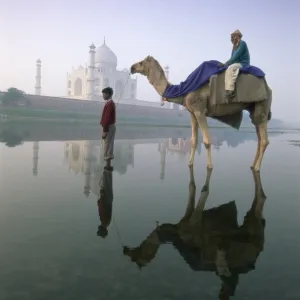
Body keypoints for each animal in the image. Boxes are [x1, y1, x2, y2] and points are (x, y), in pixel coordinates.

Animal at [123, 166, 266, 298]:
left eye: (135, 258)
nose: (125, 250)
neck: (175, 232)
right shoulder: (188, 218)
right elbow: (192, 189)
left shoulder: (194, 226)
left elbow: (203, 193)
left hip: (250, 234)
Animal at [131, 56, 272, 171]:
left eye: (141, 62)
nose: (132, 67)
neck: (184, 90)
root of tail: (267, 86)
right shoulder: (192, 113)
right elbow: (194, 140)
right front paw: (189, 163)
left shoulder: (199, 110)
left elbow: (207, 141)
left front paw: (209, 166)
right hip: (254, 108)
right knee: (259, 136)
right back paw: (252, 165)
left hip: (263, 104)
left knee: (264, 139)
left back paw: (257, 168)